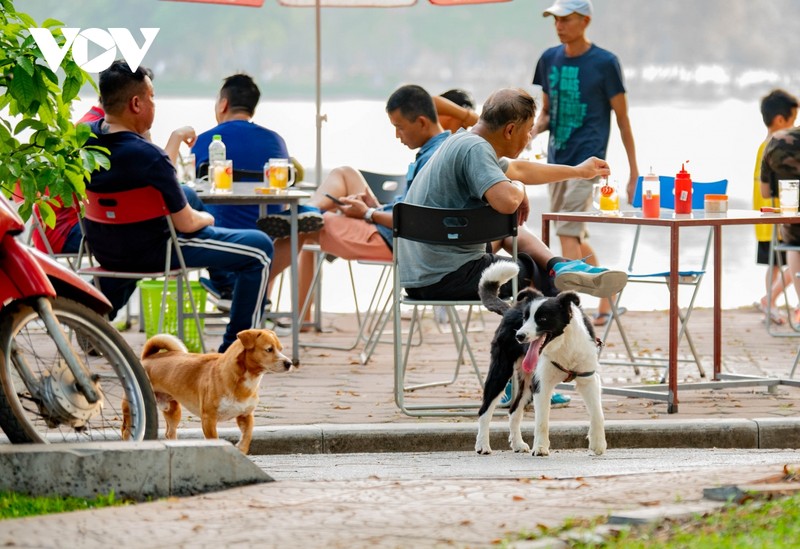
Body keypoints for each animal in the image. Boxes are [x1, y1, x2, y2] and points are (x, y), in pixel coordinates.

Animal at [136, 328, 292, 452]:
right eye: (269, 349)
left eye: (280, 349)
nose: (289, 363)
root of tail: (148, 357)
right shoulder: (208, 419)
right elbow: (215, 440)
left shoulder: (246, 415)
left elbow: (247, 436)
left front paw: (241, 449)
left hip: (172, 410)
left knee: (170, 432)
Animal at [476, 262, 608, 454]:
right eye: (525, 318)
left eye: (543, 318)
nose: (519, 336)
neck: (563, 345)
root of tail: (510, 309)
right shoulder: (542, 384)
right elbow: (542, 421)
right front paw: (540, 447)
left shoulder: (588, 379)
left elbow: (598, 414)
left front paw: (598, 444)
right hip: (500, 372)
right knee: (485, 410)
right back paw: (483, 445)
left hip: (526, 382)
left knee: (514, 410)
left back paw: (518, 444)